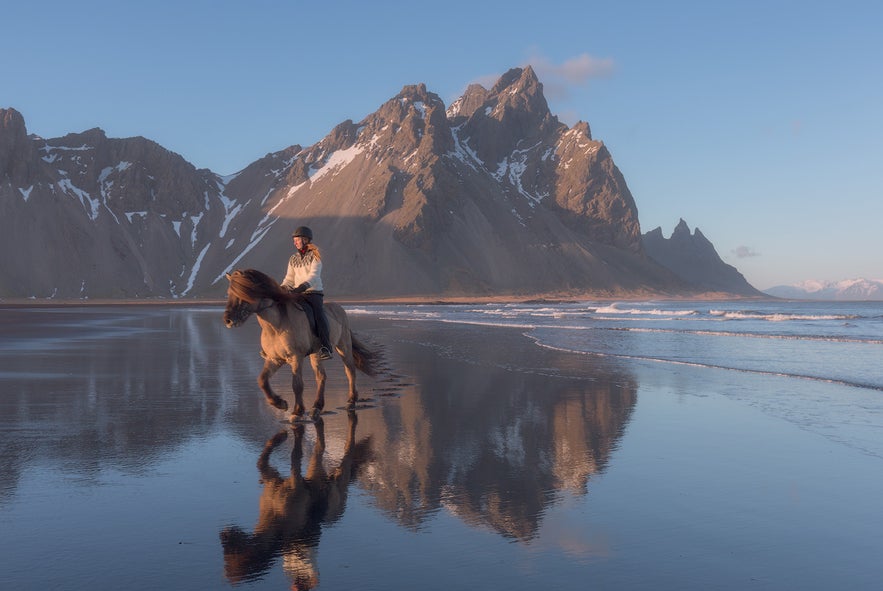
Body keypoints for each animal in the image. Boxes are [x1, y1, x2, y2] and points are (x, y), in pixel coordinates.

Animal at [223, 268, 378, 420]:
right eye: (229, 294)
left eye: (243, 292)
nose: (228, 320)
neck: (276, 326)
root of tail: (339, 308)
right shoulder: (275, 359)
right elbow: (262, 380)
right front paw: (280, 403)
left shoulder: (295, 357)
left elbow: (297, 385)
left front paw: (297, 411)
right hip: (316, 353)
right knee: (321, 376)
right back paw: (316, 407)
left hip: (343, 347)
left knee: (350, 371)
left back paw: (351, 401)